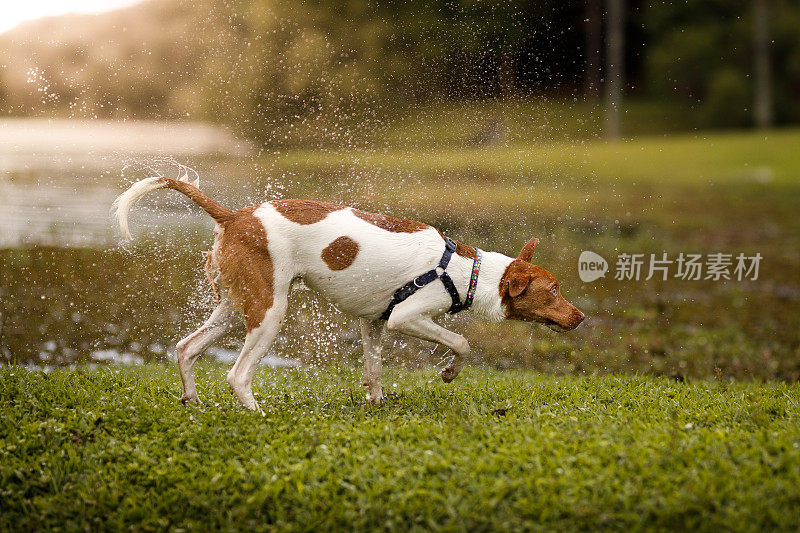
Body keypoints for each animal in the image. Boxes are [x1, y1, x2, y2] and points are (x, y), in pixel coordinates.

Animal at [112, 177, 584, 410]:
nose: (581, 317)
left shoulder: (372, 322)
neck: (467, 271)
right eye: (554, 290)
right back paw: (254, 412)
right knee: (237, 375)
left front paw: (376, 401)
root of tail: (235, 215)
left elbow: (374, 368)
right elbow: (461, 341)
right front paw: (449, 373)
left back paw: (192, 399)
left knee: (186, 347)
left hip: (233, 308)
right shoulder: (407, 316)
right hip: (269, 312)